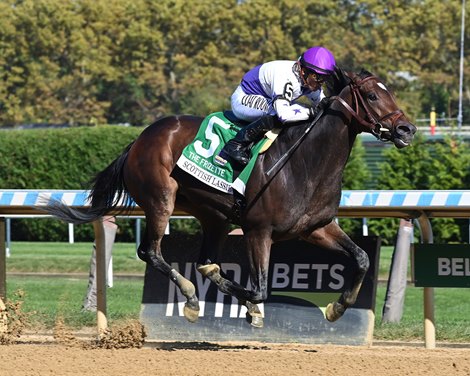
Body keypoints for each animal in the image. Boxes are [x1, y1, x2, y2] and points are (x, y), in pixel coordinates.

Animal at [46, 69, 416, 328]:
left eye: (391, 92)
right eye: (371, 94)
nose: (407, 129)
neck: (305, 163)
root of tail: (139, 139)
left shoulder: (316, 228)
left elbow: (362, 259)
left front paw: (337, 307)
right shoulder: (259, 231)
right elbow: (260, 289)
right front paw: (252, 309)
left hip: (215, 217)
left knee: (204, 261)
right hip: (161, 200)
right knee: (150, 251)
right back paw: (191, 298)